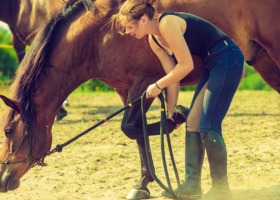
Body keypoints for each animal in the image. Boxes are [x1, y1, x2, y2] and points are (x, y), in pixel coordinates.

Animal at [0, 0, 278, 198]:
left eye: (8, 130)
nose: (3, 180)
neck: (99, 35)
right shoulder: (125, 90)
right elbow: (136, 133)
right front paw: (143, 182)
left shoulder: (145, 82)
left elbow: (130, 127)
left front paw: (175, 118)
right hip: (265, 62)